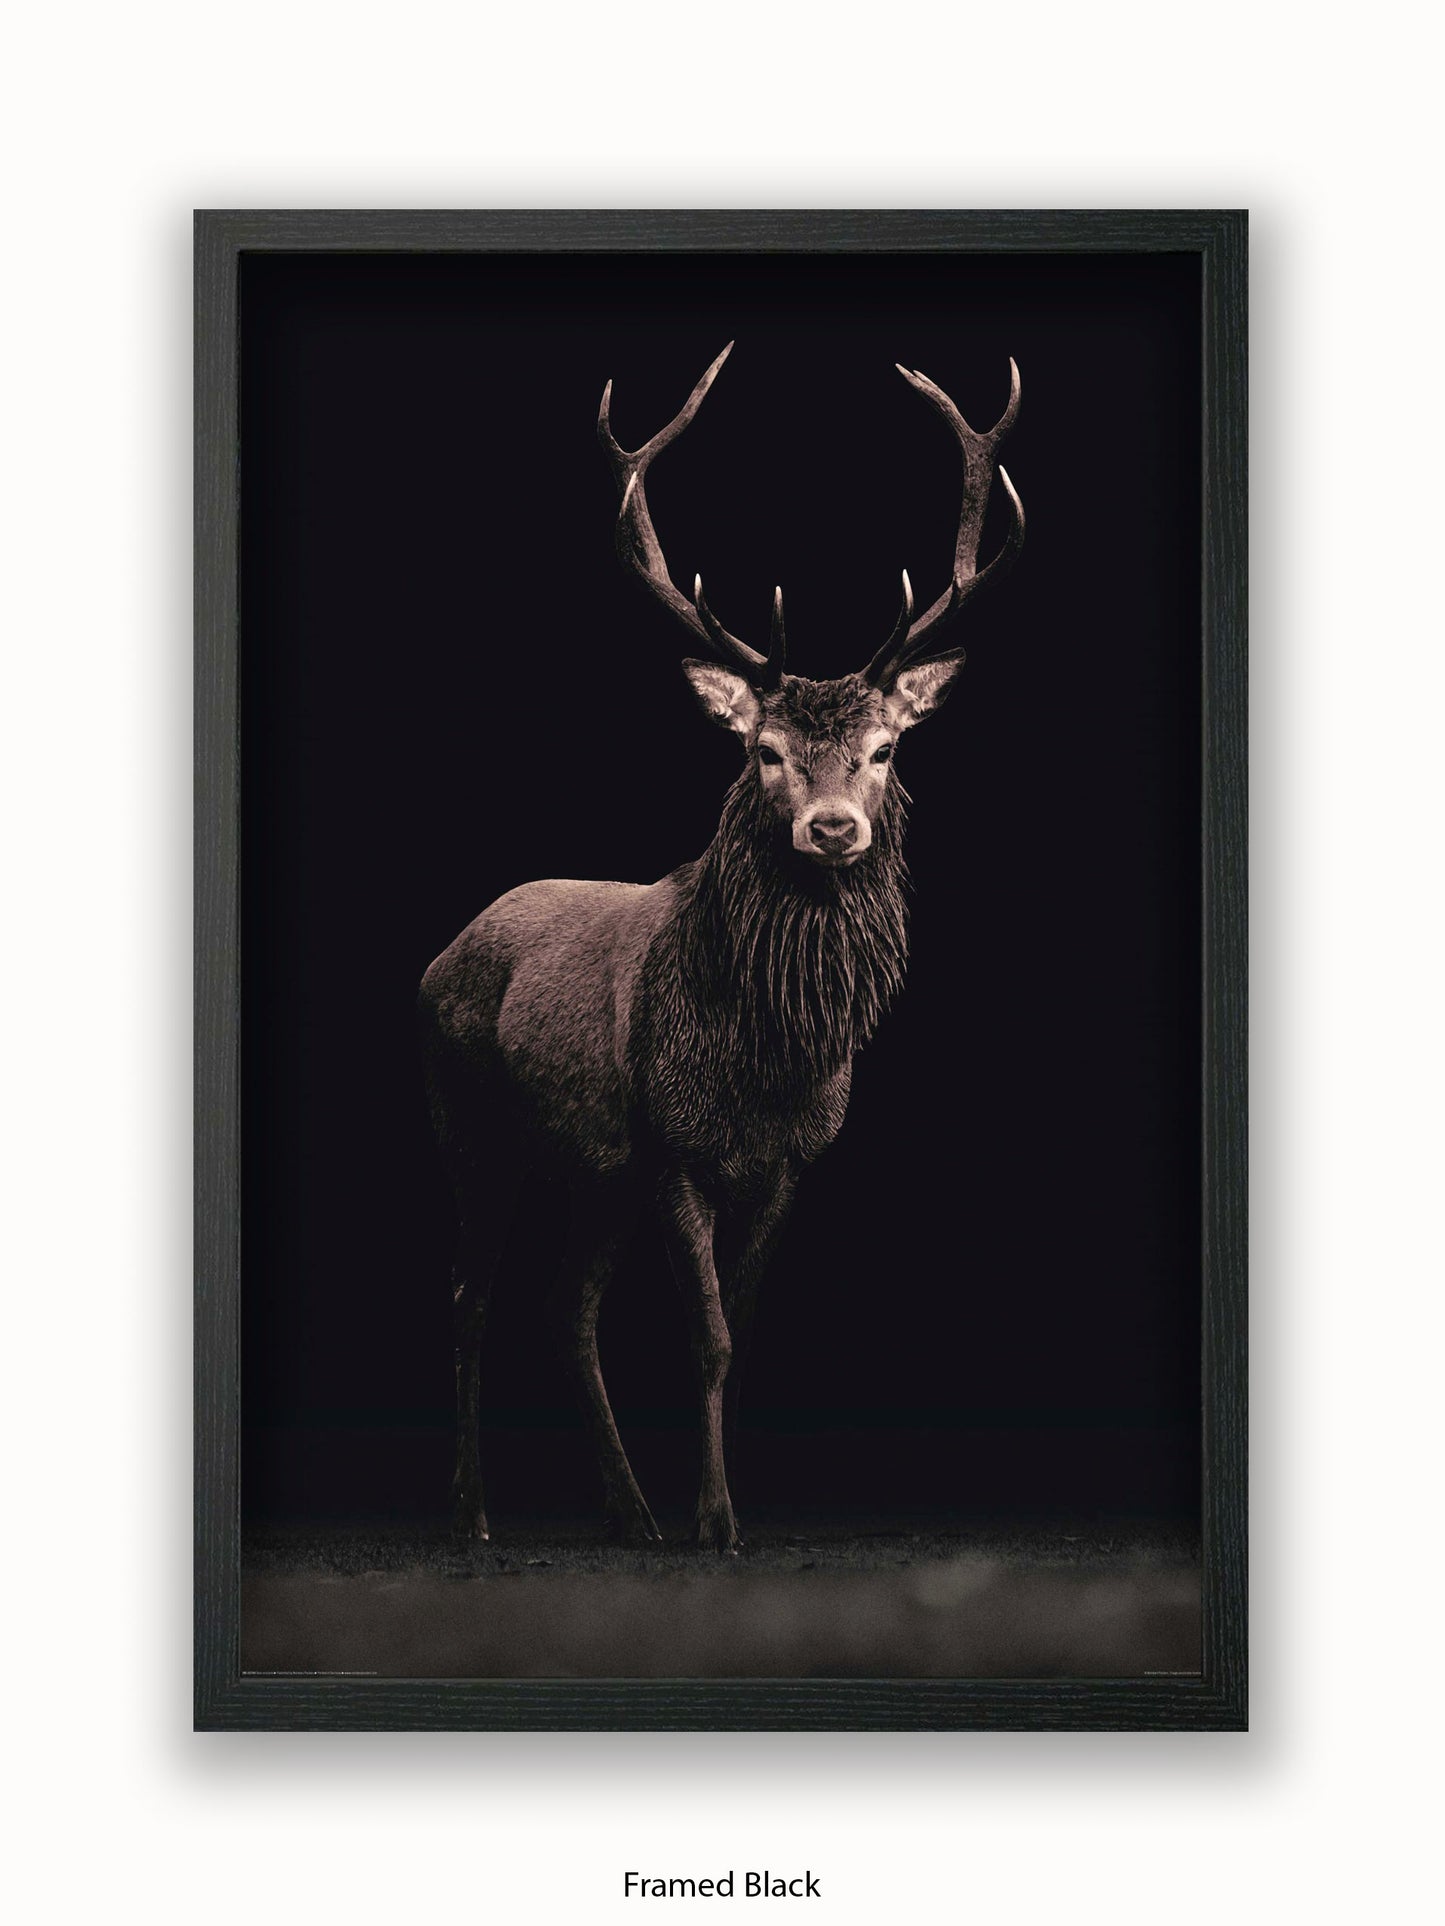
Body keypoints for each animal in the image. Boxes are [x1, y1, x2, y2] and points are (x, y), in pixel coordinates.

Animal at [419, 342, 1024, 1552]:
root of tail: (437, 957)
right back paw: (475, 1512)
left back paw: (627, 1509)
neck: (764, 1064)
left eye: (884, 749)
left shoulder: (785, 1163)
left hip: (591, 1165)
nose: (831, 829)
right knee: (471, 1295)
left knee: (565, 1304)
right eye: (764, 751)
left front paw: (717, 1502)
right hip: (473, 1121)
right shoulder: (673, 1148)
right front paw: (715, 1519)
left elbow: (738, 1342)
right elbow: (703, 1334)